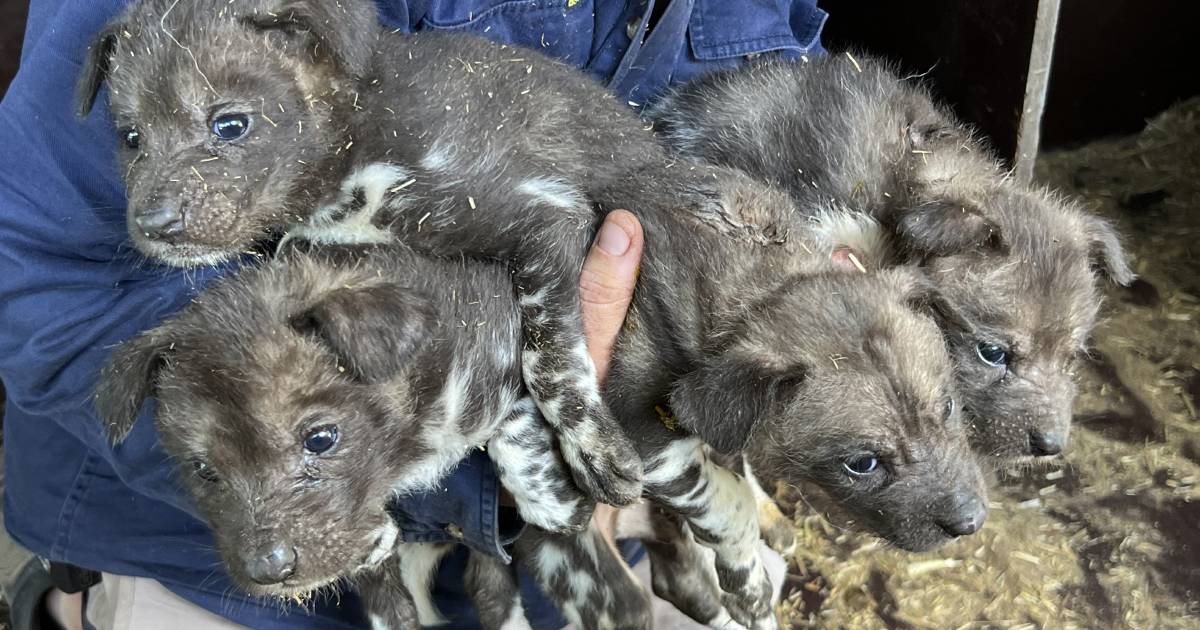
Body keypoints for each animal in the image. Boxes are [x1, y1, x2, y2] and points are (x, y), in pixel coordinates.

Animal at [75, 0, 662, 506]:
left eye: (231, 123)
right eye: (131, 137)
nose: (153, 225)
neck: (359, 132)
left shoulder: (543, 212)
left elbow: (549, 359)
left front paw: (595, 452)